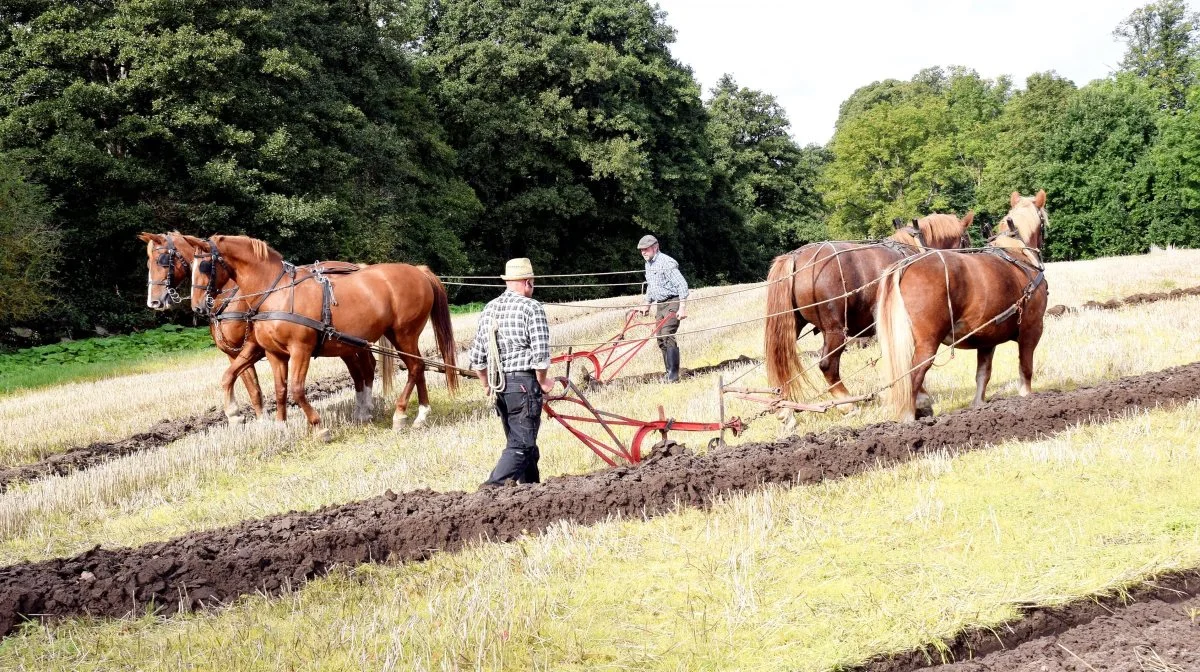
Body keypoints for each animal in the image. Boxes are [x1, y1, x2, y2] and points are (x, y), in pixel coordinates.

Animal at [184, 234, 456, 439]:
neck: (276, 292)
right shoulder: (274, 353)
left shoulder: (300, 349)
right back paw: (421, 415)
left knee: (414, 367)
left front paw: (318, 426)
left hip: (404, 333)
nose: (198, 307)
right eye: (190, 267)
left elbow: (296, 389)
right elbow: (279, 389)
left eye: (205, 266)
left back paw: (400, 415)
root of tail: (419, 271)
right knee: (415, 367)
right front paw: (279, 427)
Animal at [873, 189, 1051, 420]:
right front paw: (1026, 399)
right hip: (927, 344)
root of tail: (905, 264)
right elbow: (1025, 370)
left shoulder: (987, 339)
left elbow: (983, 374)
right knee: (913, 377)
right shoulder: (1031, 329)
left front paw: (978, 406)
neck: (1017, 253)